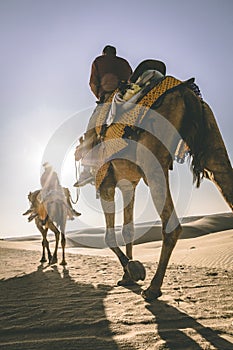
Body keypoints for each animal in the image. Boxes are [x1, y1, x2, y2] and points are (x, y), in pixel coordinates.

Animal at [75, 70, 233, 300]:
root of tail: (185, 92)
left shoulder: (105, 182)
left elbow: (108, 236)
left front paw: (135, 270)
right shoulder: (128, 184)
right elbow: (128, 230)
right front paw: (127, 276)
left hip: (153, 162)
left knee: (171, 225)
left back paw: (153, 287)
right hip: (212, 145)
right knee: (221, 175)